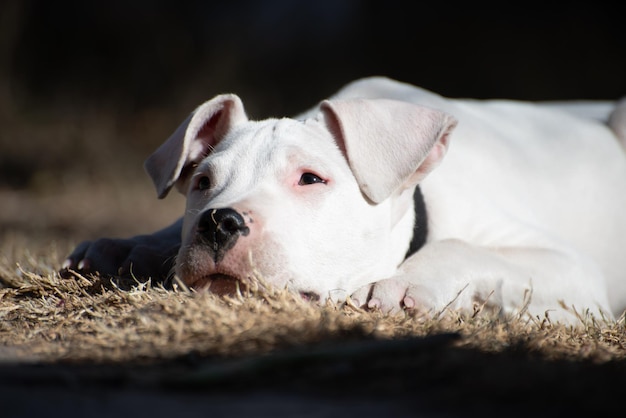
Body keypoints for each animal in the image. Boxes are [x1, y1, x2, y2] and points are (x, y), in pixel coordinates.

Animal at [62, 76, 624, 324]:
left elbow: (462, 247)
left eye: (311, 179)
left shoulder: (574, 271)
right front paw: (127, 248)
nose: (219, 222)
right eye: (202, 182)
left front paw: (400, 284)